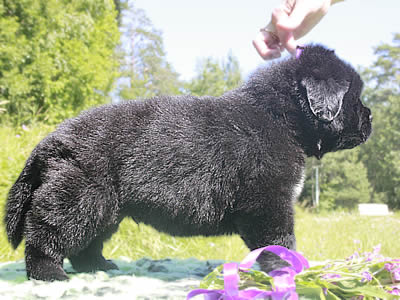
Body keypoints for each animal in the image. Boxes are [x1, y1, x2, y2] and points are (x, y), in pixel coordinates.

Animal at [4, 45, 372, 282]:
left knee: (86, 242)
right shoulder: (269, 202)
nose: (371, 118)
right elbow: (280, 241)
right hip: (78, 197)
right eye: (355, 98)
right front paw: (290, 269)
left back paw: (99, 266)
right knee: (44, 236)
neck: (279, 118)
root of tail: (52, 140)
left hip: (104, 207)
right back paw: (50, 275)